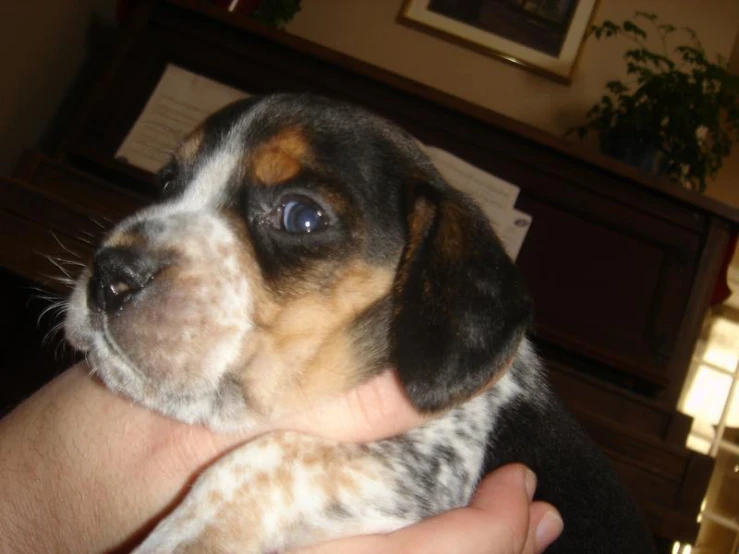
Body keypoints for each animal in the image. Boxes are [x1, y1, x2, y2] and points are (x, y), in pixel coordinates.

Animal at [63, 92, 652, 548]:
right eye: (166, 184)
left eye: (302, 216)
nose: (109, 278)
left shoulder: (422, 472)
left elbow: (266, 455)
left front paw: (179, 538)